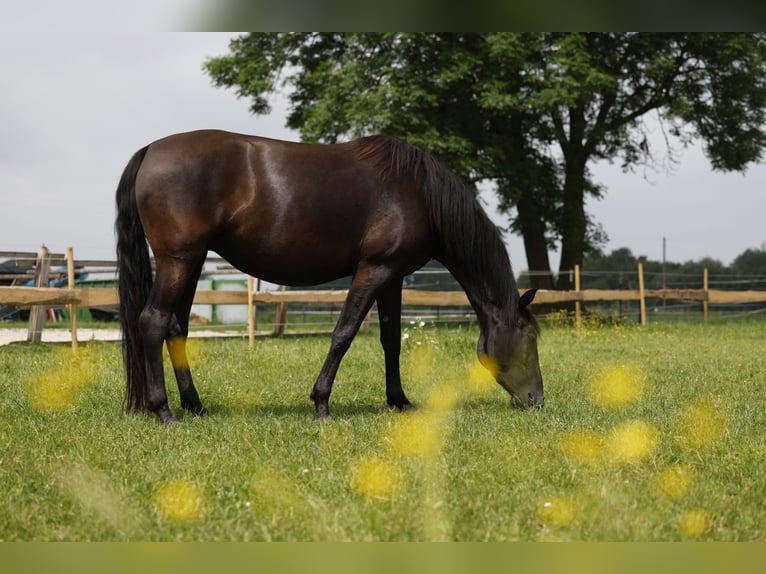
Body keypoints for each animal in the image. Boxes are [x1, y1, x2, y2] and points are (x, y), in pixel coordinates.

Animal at [115, 133, 544, 426]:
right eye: (530, 339)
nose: (536, 400)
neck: (420, 194)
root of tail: (150, 150)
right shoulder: (374, 270)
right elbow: (344, 334)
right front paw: (321, 403)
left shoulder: (393, 277)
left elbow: (391, 340)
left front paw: (400, 401)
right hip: (179, 260)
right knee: (153, 322)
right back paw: (164, 410)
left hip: (192, 260)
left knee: (177, 327)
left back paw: (195, 405)